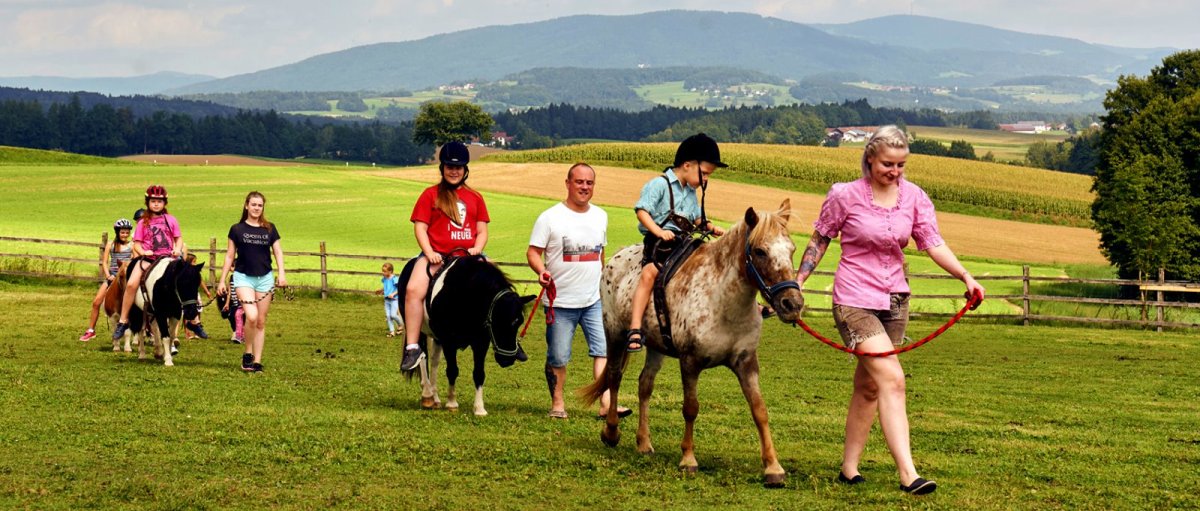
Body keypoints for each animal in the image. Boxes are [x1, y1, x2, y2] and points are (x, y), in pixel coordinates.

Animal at [398, 254, 535, 415]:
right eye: (497, 320)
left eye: (519, 322)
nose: (507, 360)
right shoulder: (449, 341)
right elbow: (452, 370)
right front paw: (452, 403)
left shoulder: (480, 342)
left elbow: (479, 373)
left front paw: (479, 408)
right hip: (420, 329)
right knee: (422, 358)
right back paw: (427, 394)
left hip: (437, 338)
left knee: (434, 361)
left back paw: (435, 398)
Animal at [583, 199, 806, 487]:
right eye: (760, 251)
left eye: (792, 249)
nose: (792, 304)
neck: (723, 302)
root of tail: (617, 257)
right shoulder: (690, 362)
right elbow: (690, 408)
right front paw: (688, 459)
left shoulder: (746, 362)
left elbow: (760, 410)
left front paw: (773, 467)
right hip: (615, 334)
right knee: (614, 376)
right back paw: (611, 432)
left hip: (656, 347)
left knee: (645, 385)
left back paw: (644, 443)